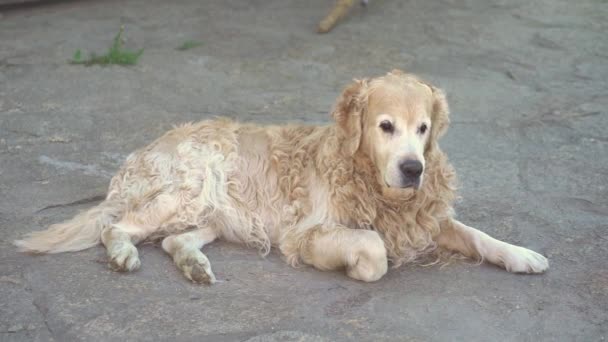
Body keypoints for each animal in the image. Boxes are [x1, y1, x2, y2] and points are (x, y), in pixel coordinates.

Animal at [14, 70, 548, 284]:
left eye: (423, 129)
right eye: (385, 126)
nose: (414, 168)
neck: (366, 178)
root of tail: (146, 148)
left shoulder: (425, 216)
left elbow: (477, 234)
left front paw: (521, 254)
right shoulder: (307, 234)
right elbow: (373, 247)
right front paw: (359, 266)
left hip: (215, 214)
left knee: (172, 241)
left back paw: (194, 265)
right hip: (188, 188)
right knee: (116, 227)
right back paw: (125, 254)